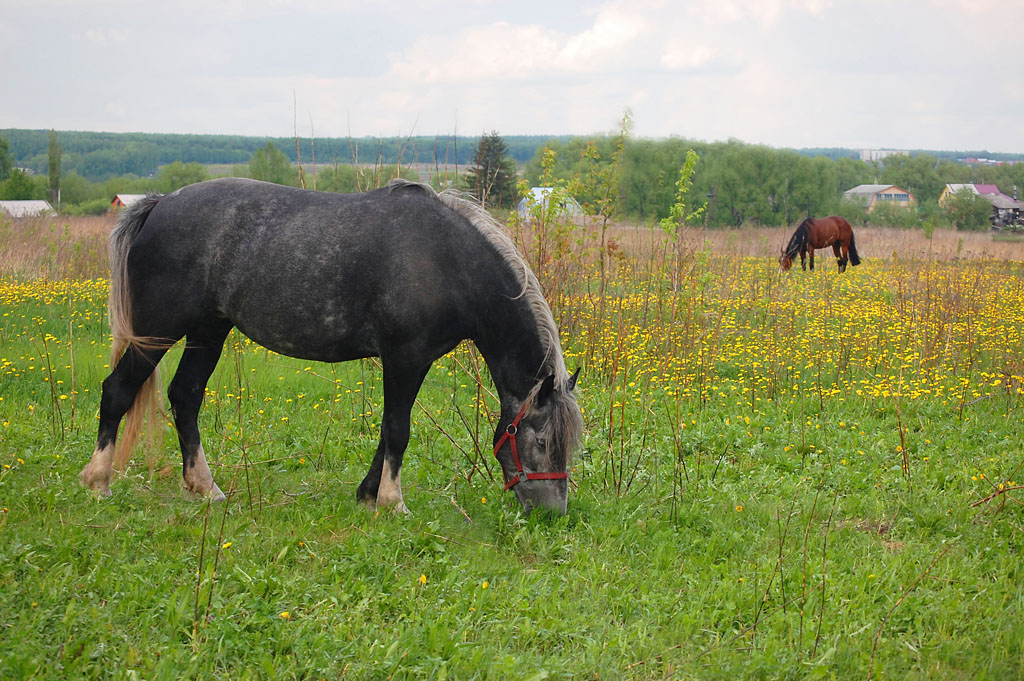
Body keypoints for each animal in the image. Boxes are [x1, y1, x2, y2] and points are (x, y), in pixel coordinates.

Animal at [78, 178, 581, 512]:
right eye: (539, 440)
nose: (552, 513)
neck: (447, 261)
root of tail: (159, 204)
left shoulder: (410, 362)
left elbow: (388, 430)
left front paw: (368, 494)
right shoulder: (404, 358)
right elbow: (398, 429)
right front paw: (392, 503)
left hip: (209, 330)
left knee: (185, 396)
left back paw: (205, 487)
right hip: (159, 331)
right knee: (118, 391)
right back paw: (98, 482)